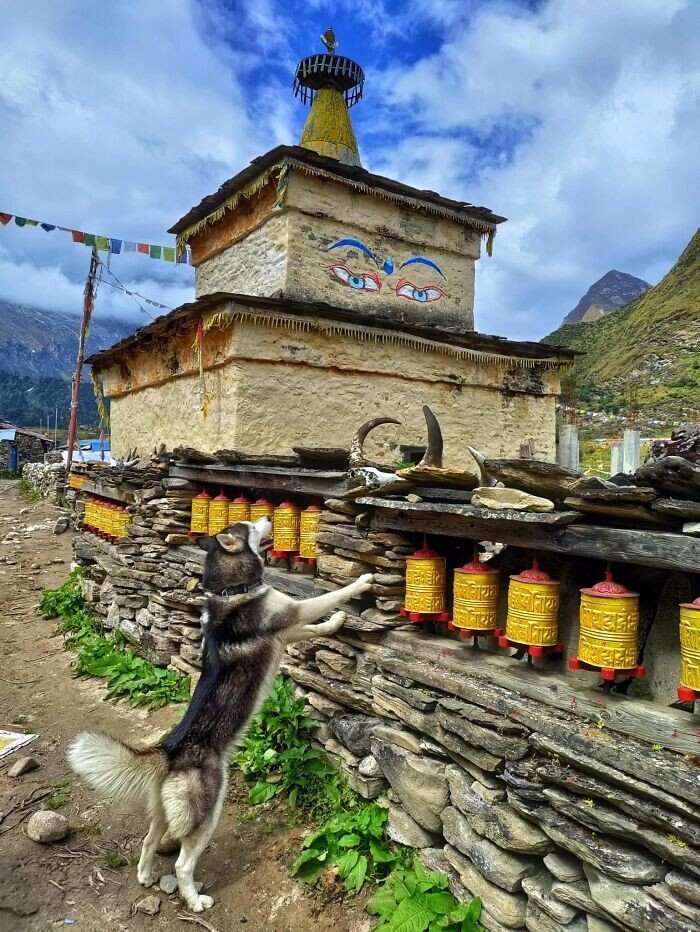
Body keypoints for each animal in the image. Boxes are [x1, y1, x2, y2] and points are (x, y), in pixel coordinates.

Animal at [69, 516, 374, 912]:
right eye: (250, 525)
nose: (268, 516)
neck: (232, 591)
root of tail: (170, 751)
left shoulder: (287, 631)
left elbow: (313, 627)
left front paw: (333, 624)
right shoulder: (291, 613)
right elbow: (323, 599)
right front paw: (359, 586)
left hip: (163, 813)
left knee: (148, 841)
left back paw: (145, 875)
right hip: (209, 809)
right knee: (183, 864)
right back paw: (195, 900)